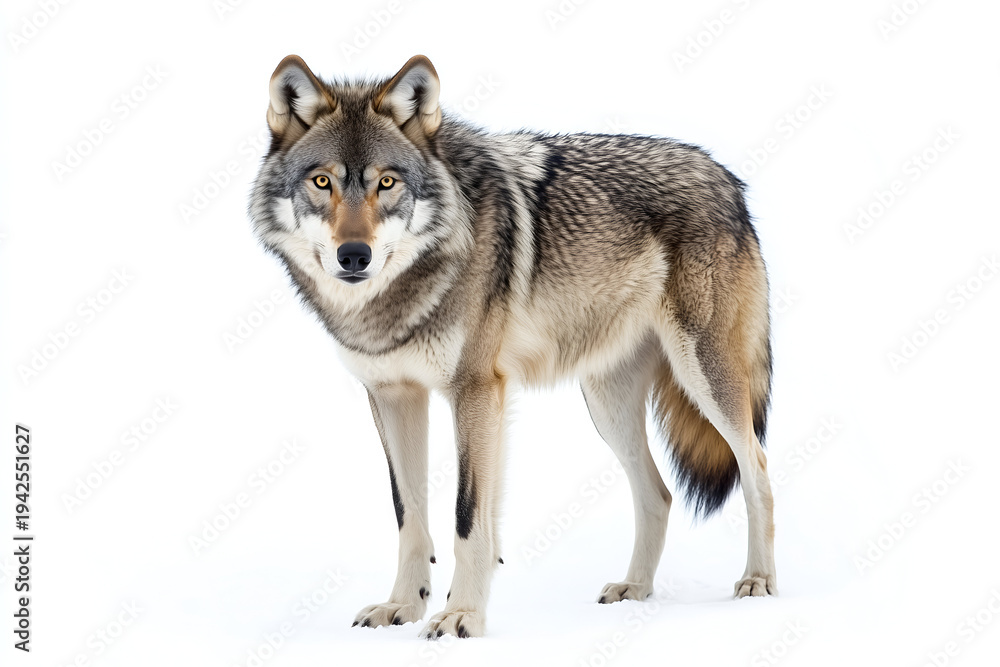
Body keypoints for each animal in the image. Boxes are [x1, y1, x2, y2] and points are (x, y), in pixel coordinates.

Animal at [249, 54, 777, 639]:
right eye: (322, 182)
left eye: (386, 183)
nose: (354, 255)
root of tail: (727, 177)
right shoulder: (392, 395)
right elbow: (409, 515)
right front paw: (402, 607)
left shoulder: (477, 392)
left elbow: (467, 517)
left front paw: (462, 615)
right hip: (606, 405)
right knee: (658, 495)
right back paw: (634, 589)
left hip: (704, 378)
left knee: (758, 469)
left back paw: (758, 581)